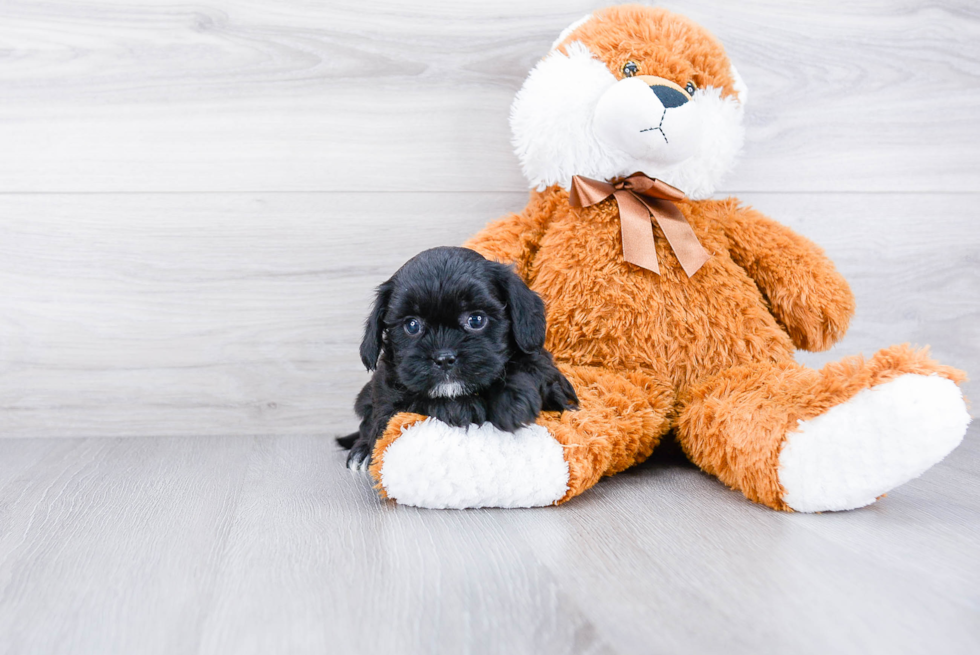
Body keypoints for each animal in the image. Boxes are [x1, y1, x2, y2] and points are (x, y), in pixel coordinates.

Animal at [336, 247, 576, 472]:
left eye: (476, 319)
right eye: (412, 325)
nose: (444, 358)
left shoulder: (543, 365)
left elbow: (529, 367)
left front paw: (513, 402)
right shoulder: (389, 400)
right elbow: (414, 402)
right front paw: (463, 407)